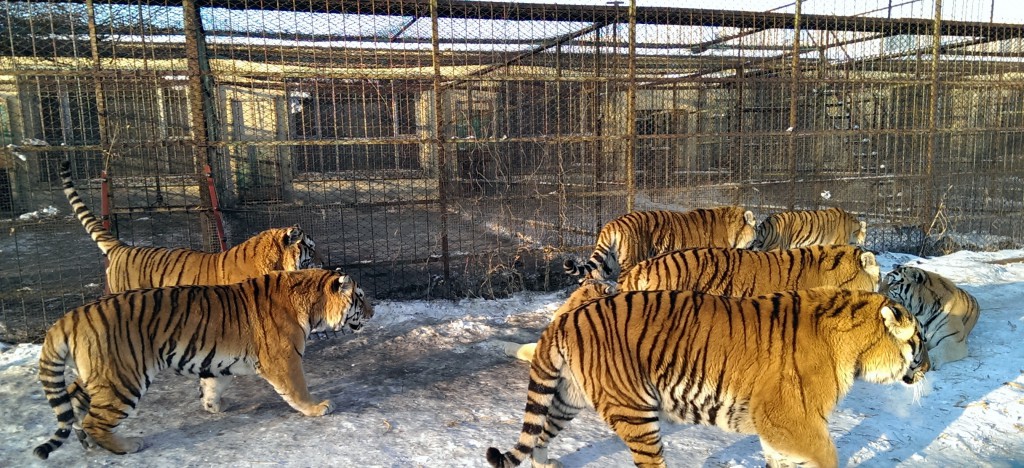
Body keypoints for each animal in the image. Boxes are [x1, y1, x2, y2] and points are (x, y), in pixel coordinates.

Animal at [32, 268, 376, 458]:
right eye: (359, 296)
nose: (373, 312)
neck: (313, 305)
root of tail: (71, 316)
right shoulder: (284, 358)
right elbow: (298, 389)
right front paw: (317, 408)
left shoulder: (217, 361)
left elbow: (213, 384)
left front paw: (214, 407)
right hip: (123, 378)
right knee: (95, 420)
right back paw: (127, 445)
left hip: (97, 376)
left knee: (75, 404)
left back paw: (85, 442)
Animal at [485, 286, 929, 466]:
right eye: (920, 342)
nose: (929, 368)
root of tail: (565, 318)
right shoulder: (792, 419)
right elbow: (825, 458)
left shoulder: (778, 429)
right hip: (635, 410)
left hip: (568, 396)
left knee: (539, 435)